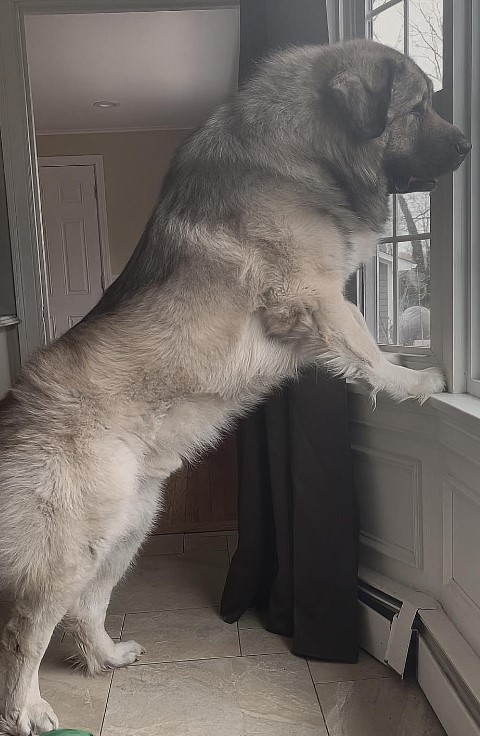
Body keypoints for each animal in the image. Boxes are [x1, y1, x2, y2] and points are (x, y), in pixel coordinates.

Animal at [0, 41, 470, 736]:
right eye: (418, 108)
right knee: (25, 630)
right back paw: (26, 708)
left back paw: (106, 657)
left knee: (85, 606)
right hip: (69, 546)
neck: (304, 152)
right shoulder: (315, 295)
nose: (467, 145)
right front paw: (411, 379)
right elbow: (363, 345)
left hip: (127, 528)